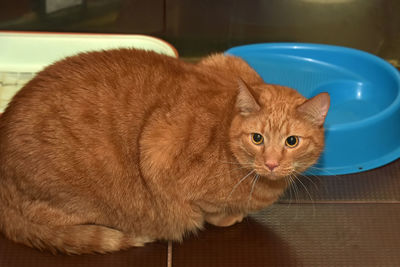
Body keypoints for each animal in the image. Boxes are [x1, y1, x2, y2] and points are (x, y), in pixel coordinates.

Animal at [0, 48, 330, 255]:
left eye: (291, 141)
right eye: (257, 138)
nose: (272, 163)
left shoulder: (225, 60)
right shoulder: (159, 149)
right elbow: (209, 210)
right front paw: (228, 217)